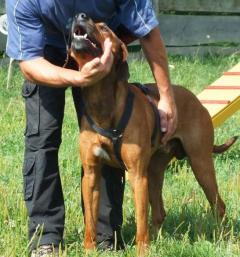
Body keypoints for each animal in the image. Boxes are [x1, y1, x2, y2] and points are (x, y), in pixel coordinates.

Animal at [67, 13, 236, 254]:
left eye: (105, 28)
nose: (80, 15)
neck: (103, 103)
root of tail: (196, 100)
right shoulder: (91, 174)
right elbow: (90, 220)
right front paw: (89, 250)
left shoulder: (137, 176)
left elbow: (140, 222)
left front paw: (142, 251)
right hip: (155, 171)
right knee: (159, 212)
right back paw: (158, 241)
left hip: (200, 163)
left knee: (218, 205)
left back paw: (222, 237)